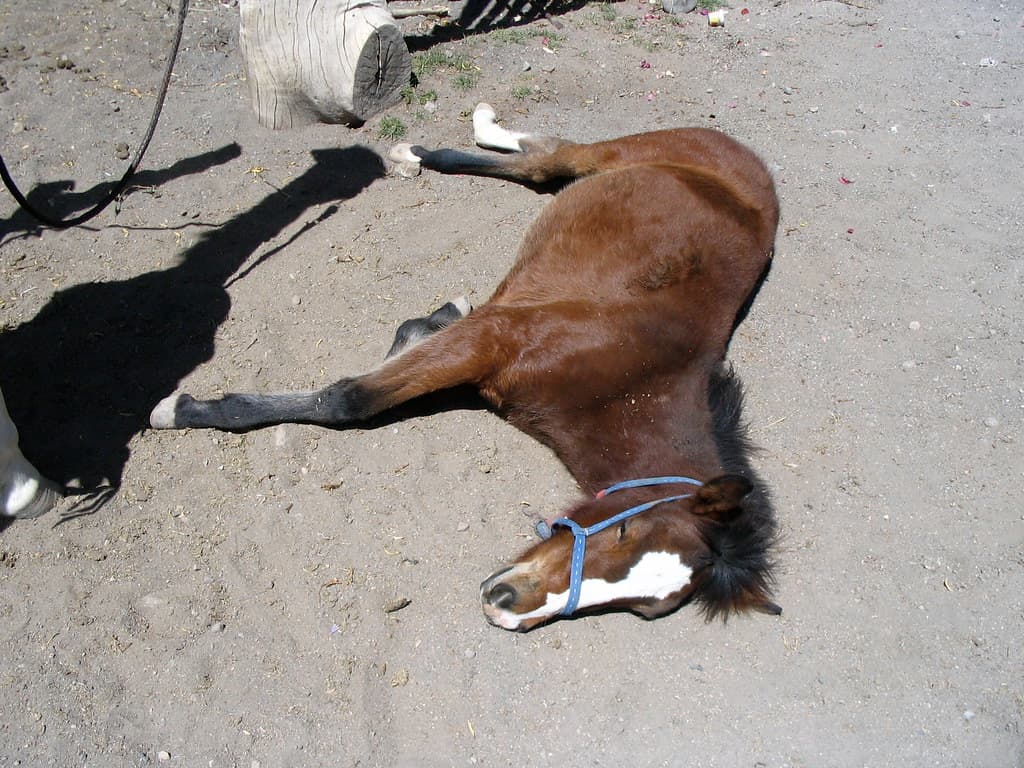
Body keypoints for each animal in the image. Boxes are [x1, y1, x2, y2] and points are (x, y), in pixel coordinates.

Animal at [151, 104, 782, 630]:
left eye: (642, 609)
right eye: (625, 527)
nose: (504, 606)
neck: (627, 377)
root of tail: (751, 162)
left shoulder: (482, 352)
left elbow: (405, 347)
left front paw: (430, 317)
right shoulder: (490, 338)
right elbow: (350, 398)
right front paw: (183, 409)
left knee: (538, 164)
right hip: (621, 153)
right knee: (554, 154)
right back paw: (433, 145)